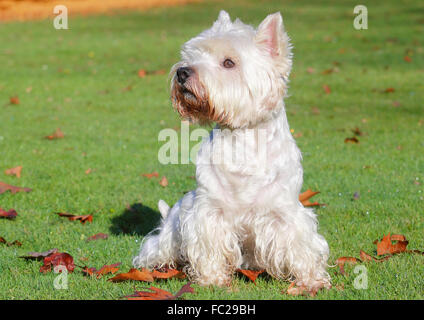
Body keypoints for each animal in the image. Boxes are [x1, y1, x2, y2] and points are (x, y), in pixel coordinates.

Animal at [133, 10, 332, 292]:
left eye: (229, 62)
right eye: (193, 54)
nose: (182, 72)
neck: (243, 138)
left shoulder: (285, 212)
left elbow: (301, 245)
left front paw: (311, 280)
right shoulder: (209, 210)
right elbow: (209, 246)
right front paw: (212, 279)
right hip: (173, 227)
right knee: (156, 249)